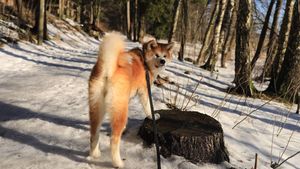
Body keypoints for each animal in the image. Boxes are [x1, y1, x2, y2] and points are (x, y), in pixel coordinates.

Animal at [88, 32, 173, 168]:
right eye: (157, 55)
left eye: (165, 55)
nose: (163, 61)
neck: (144, 62)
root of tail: (109, 68)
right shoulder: (144, 91)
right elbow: (148, 106)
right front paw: (152, 116)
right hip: (120, 109)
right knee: (114, 139)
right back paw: (118, 162)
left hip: (97, 106)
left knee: (94, 132)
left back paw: (95, 154)